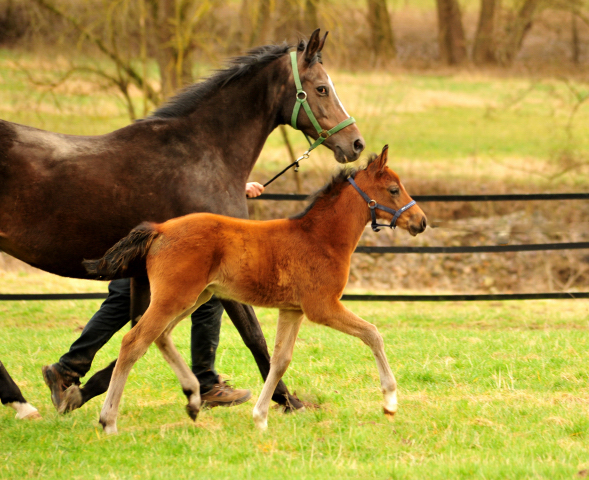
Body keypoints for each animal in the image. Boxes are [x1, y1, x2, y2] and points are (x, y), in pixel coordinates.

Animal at [0, 30, 366, 420]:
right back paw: (22, 403)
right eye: (321, 88)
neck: (200, 155)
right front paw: (288, 400)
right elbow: (252, 334)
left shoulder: (144, 276)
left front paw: (80, 392)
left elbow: (143, 331)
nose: (356, 143)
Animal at [82, 144, 422, 434]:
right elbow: (372, 334)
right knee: (133, 341)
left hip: (195, 296)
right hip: (175, 297)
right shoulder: (322, 306)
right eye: (393, 189)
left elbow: (280, 360)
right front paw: (390, 402)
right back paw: (109, 421)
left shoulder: (292, 309)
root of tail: (160, 229)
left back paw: (193, 399)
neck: (320, 238)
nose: (420, 221)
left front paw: (260, 417)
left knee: (160, 336)